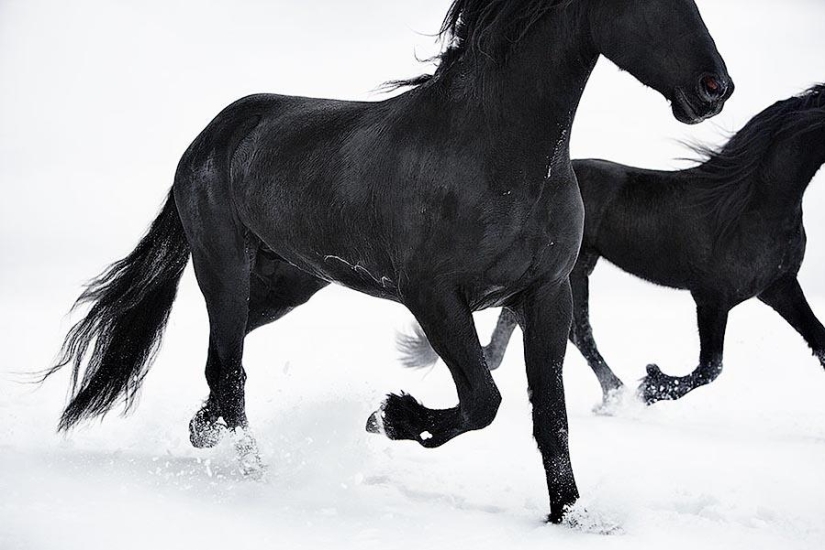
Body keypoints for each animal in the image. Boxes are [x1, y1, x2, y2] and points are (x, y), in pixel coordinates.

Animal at [44, 0, 732, 523]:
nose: (714, 89)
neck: (497, 157)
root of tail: (211, 135)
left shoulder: (548, 293)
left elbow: (550, 417)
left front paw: (572, 514)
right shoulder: (433, 297)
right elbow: (483, 399)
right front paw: (392, 417)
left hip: (289, 282)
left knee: (221, 356)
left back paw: (205, 431)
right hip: (225, 267)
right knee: (230, 366)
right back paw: (248, 463)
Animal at [404, 85, 825, 409]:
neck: (752, 204)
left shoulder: (780, 287)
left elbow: (818, 342)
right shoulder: (711, 297)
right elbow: (710, 368)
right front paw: (651, 385)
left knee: (522, 321)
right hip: (575, 271)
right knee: (578, 332)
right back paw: (615, 396)